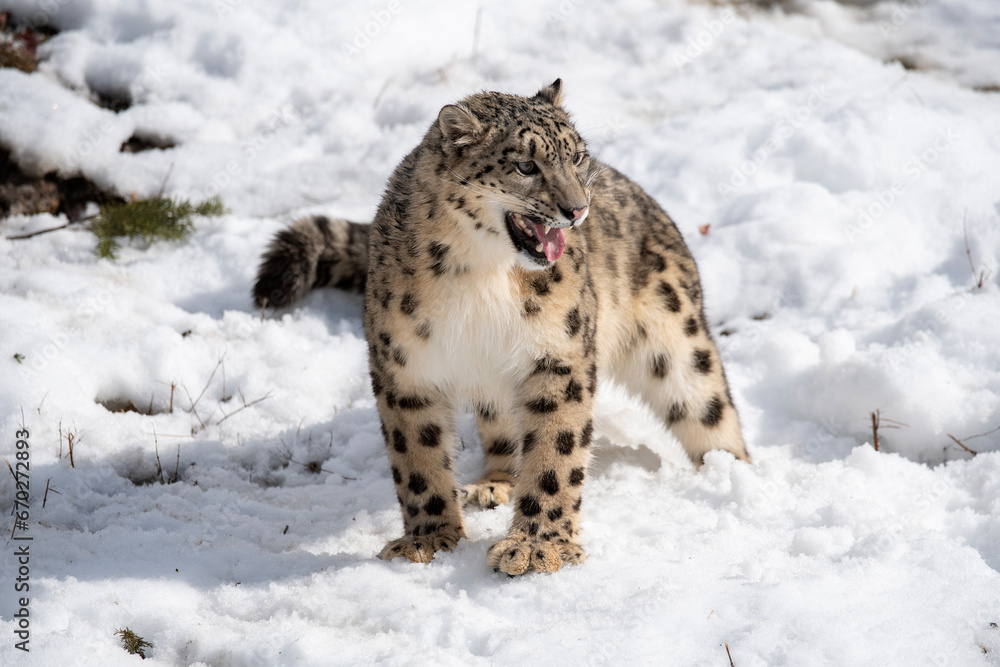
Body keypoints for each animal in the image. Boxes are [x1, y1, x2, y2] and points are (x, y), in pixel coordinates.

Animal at [253, 79, 750, 576]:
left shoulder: (558, 356)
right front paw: (428, 539)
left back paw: (734, 475)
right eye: (525, 165)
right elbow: (416, 456)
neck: (482, 272)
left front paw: (537, 546)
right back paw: (492, 484)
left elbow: (555, 450)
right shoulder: (404, 366)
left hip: (676, 341)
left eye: (576, 157)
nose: (577, 209)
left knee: (708, 408)